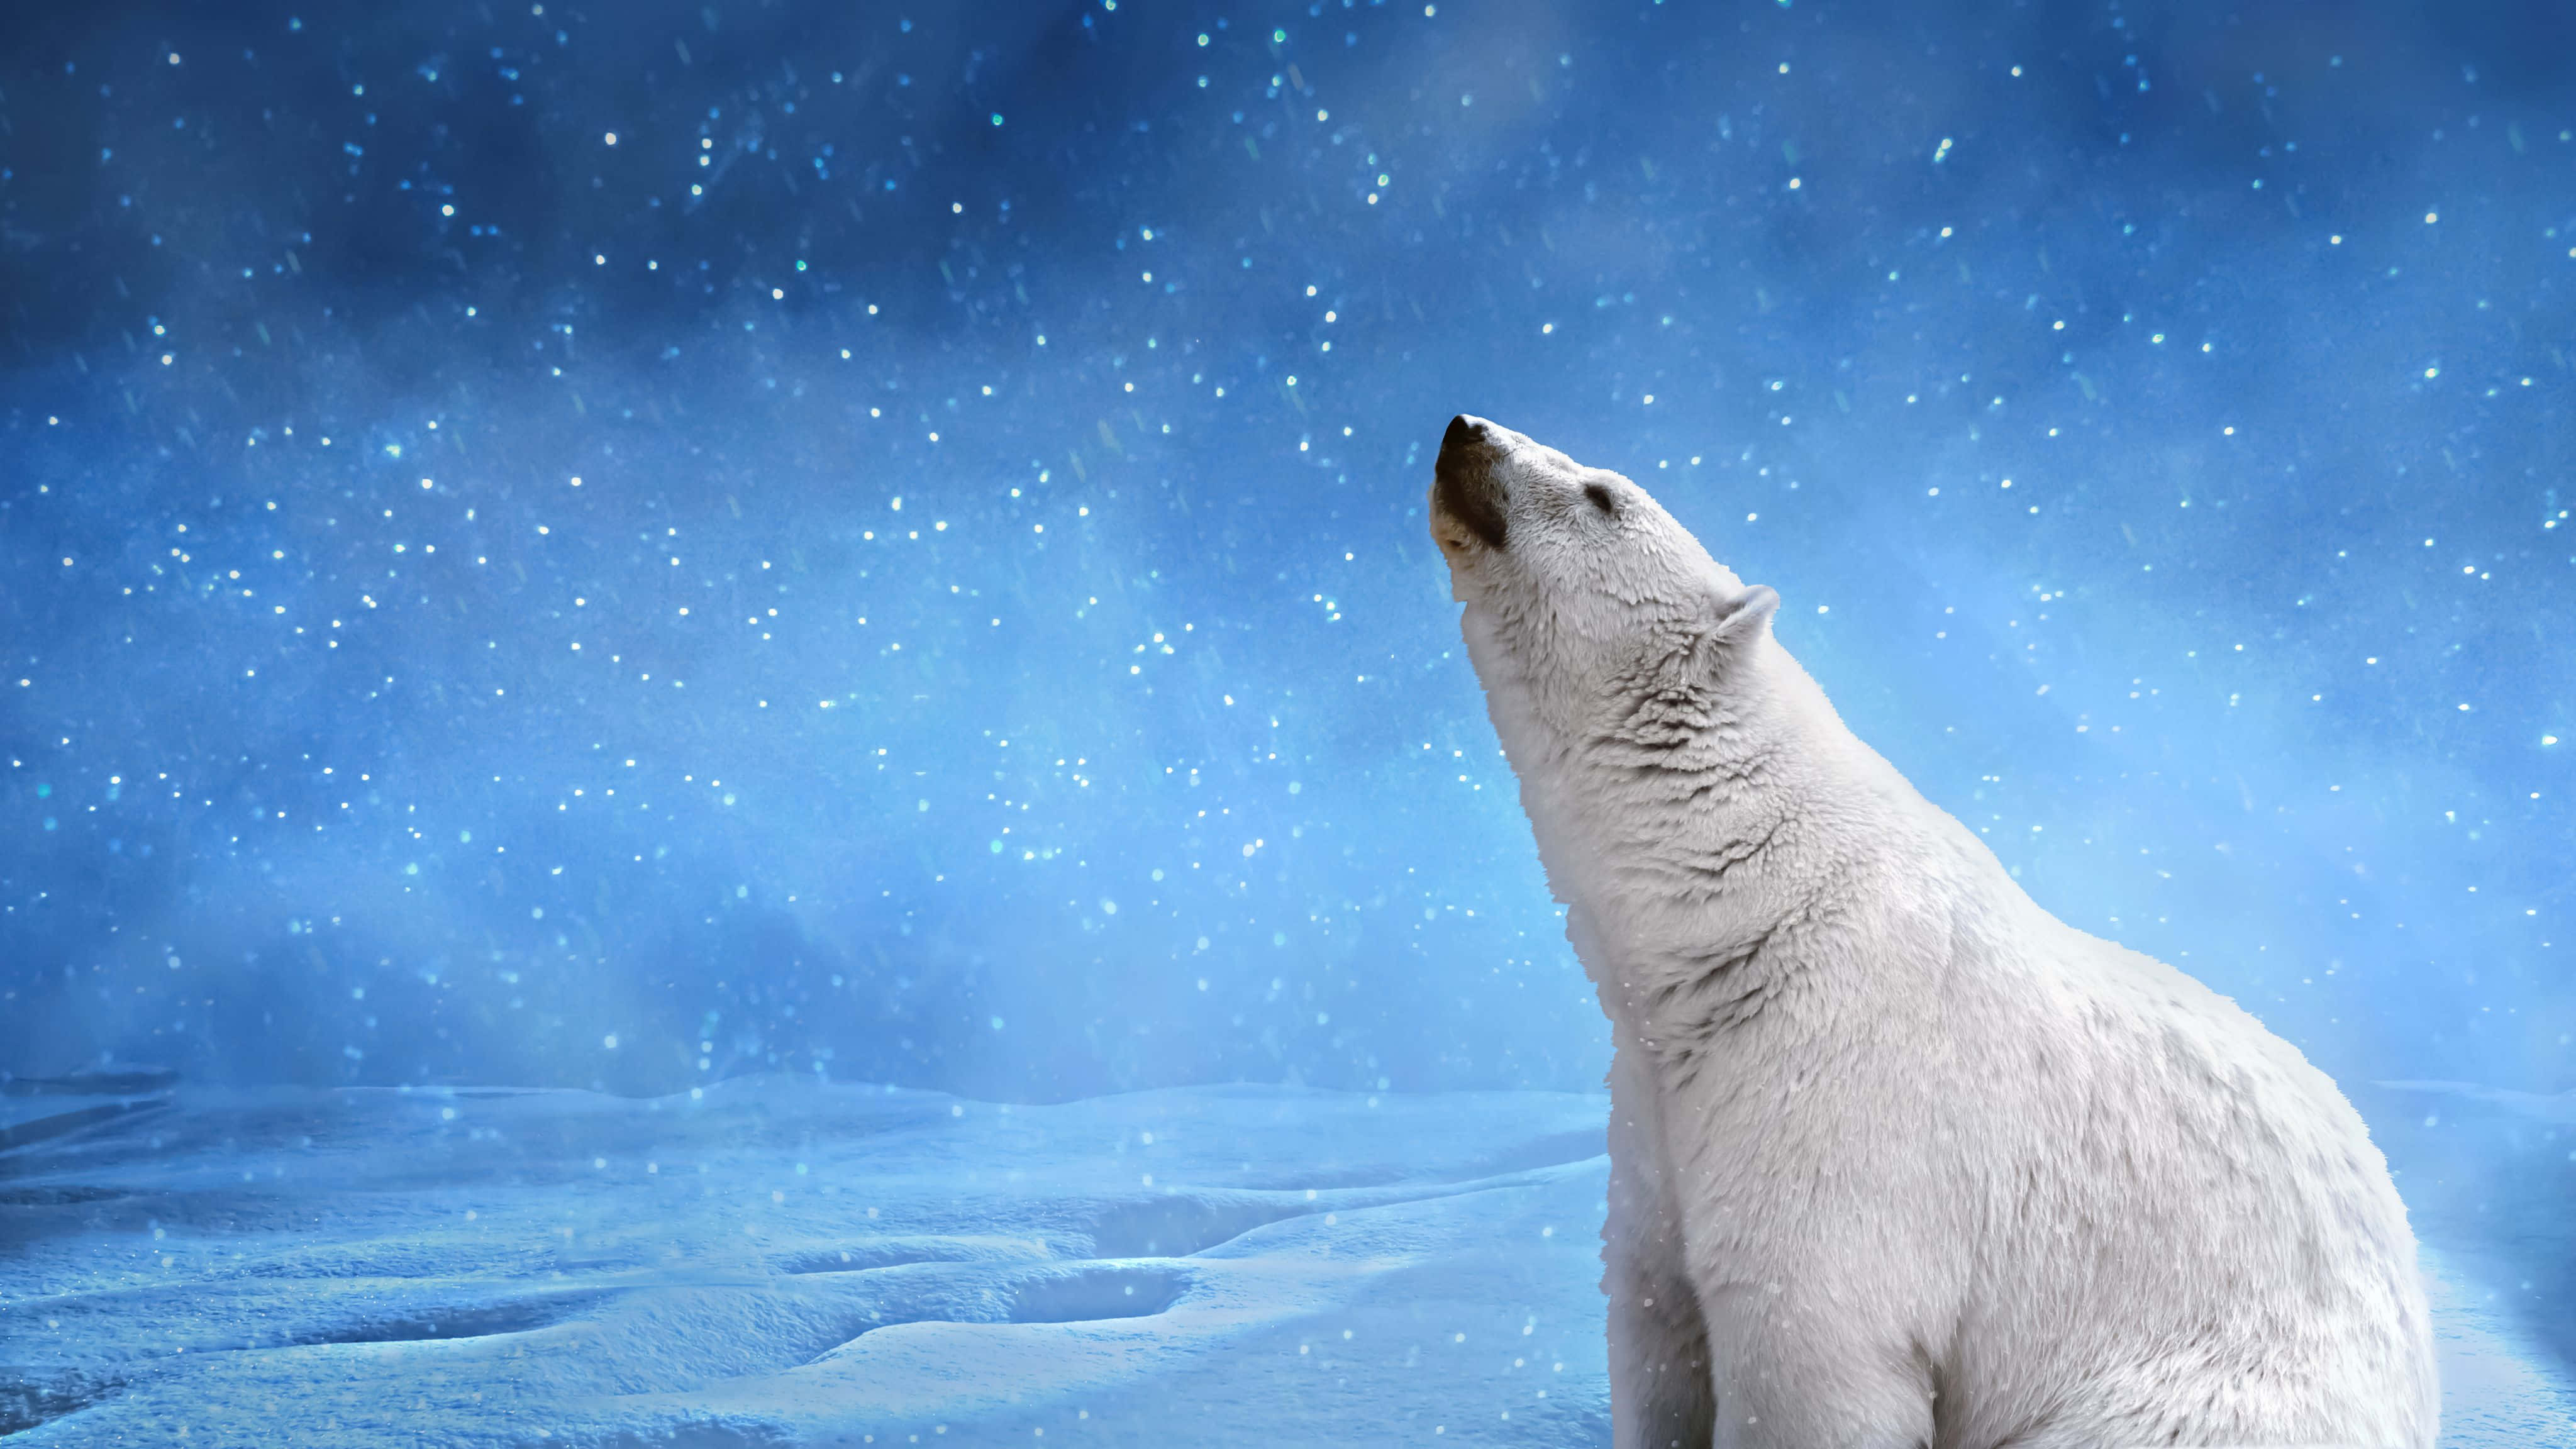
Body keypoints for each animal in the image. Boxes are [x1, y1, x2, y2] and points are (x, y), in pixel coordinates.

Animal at [1427, 414, 2437, 1449]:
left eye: (1601, 494)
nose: (1465, 428)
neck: (1744, 911)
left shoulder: (1839, 1097)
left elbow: (1804, 1355)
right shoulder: (1654, 1115)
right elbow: (1656, 1325)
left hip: (2197, 1395)